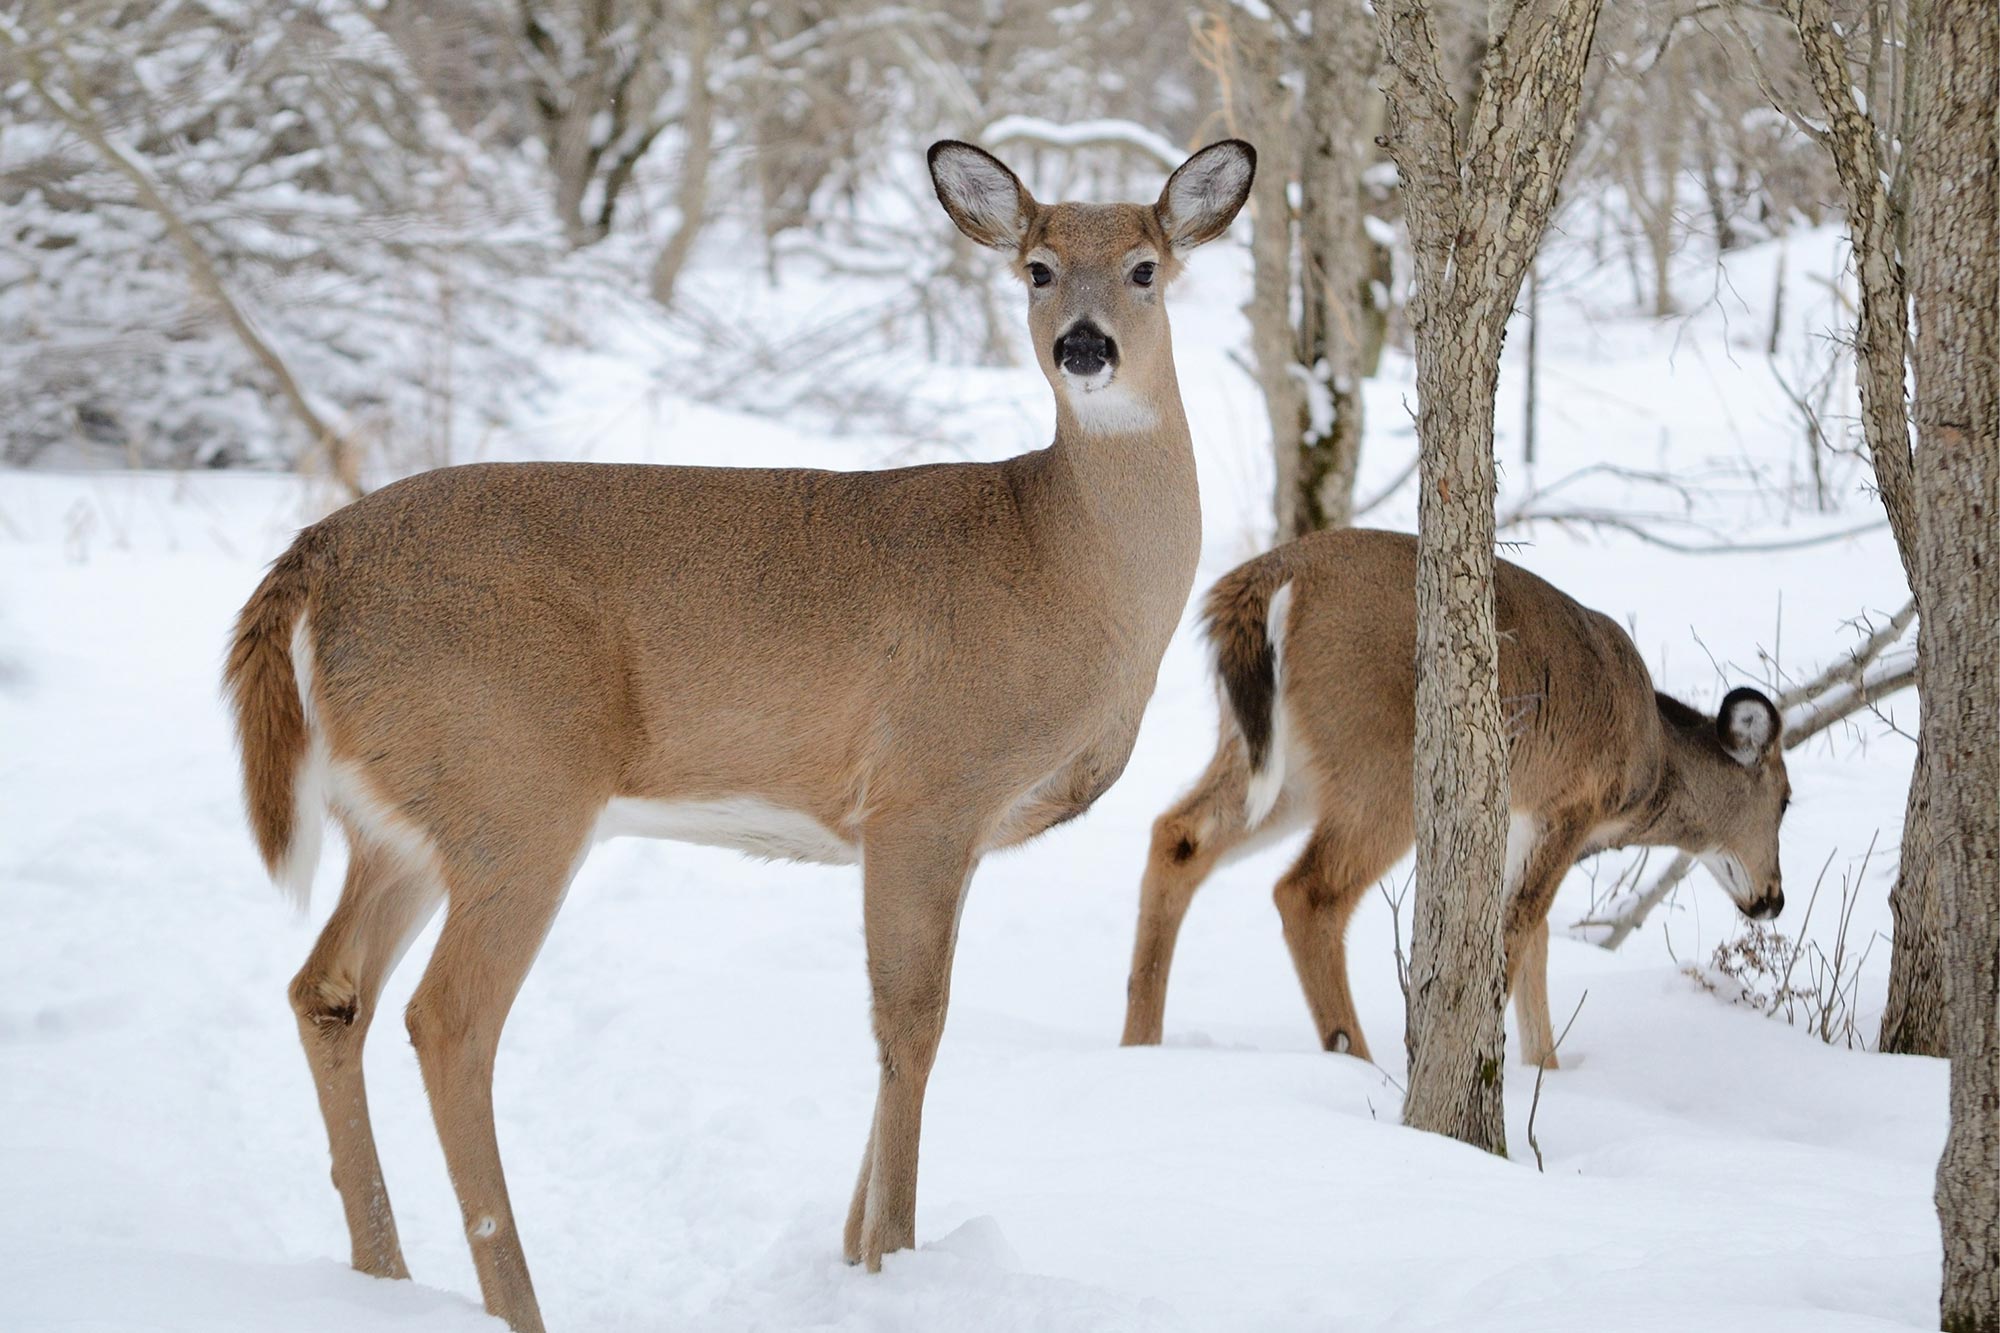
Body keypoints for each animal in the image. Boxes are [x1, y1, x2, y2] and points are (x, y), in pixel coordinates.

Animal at [230, 140, 1248, 1320]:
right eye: (1036, 269)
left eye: (1144, 267)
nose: (1084, 347)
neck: (1064, 566)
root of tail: (311, 559)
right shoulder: (925, 788)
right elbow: (912, 1021)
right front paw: (891, 1256)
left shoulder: (953, 831)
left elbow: (906, 1017)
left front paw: (856, 1255)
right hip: (514, 787)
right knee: (450, 1018)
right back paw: (513, 1302)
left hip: (401, 818)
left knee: (327, 990)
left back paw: (385, 1281)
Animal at [1120, 524, 1792, 1064]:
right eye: (1786, 800)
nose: (1774, 899)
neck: (1650, 765)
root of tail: (1267, 579)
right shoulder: (1572, 805)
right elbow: (1519, 928)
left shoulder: (1521, 818)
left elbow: (1536, 943)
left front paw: (1545, 1068)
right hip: (1382, 761)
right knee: (1307, 892)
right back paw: (1360, 1062)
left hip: (1276, 761)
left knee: (1177, 834)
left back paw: (1140, 1045)